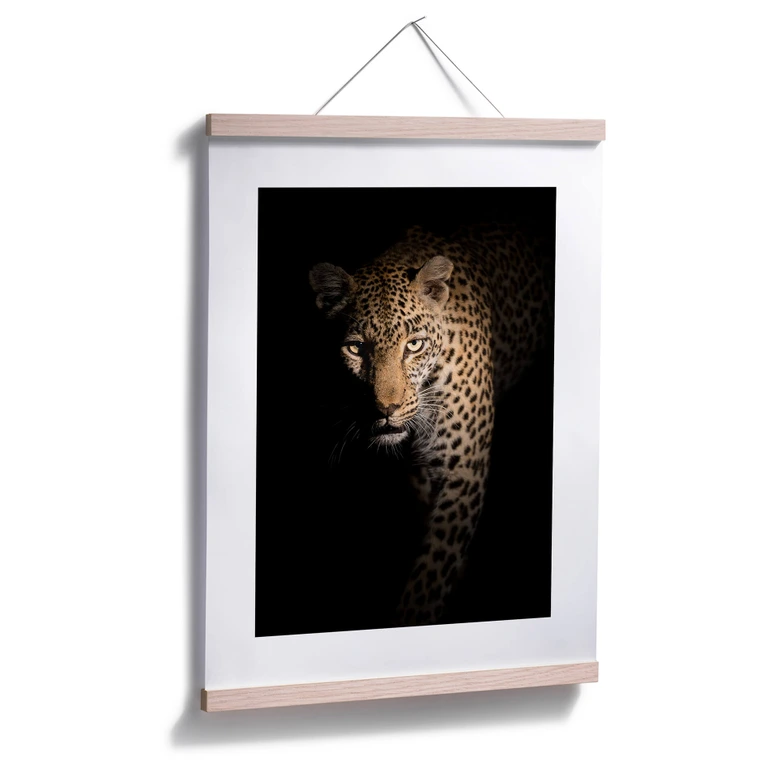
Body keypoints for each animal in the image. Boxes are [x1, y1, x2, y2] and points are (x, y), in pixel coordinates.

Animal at [309, 223, 553, 627]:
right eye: (356, 349)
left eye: (414, 345)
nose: (386, 409)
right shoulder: (418, 471)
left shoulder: (463, 469)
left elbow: (431, 573)